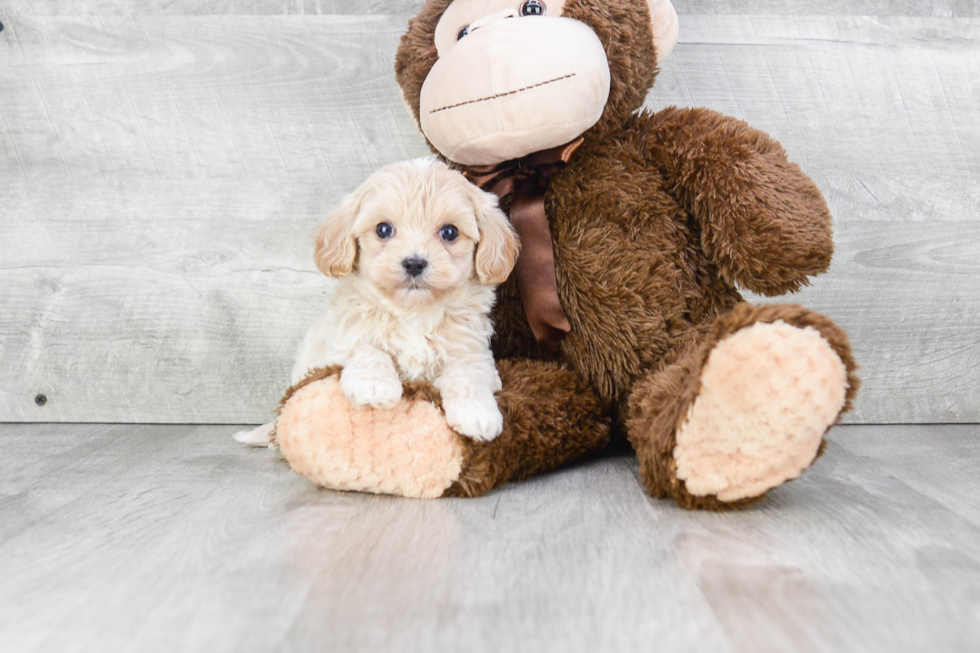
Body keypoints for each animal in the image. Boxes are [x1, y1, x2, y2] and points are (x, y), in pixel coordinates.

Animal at [234, 158, 520, 446]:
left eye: (449, 232)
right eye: (384, 229)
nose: (414, 263)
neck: (412, 312)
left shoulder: (471, 349)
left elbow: (468, 373)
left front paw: (477, 415)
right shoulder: (341, 343)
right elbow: (367, 349)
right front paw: (374, 387)